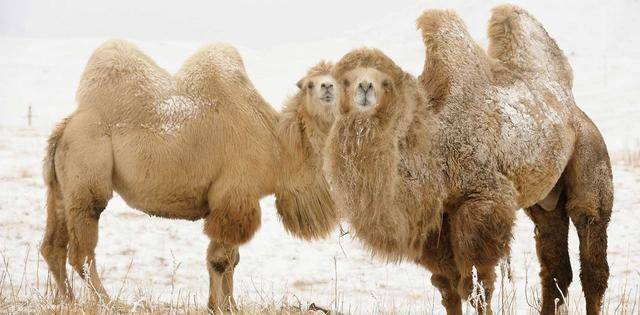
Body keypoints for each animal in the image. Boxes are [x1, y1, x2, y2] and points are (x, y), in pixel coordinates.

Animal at [39, 39, 340, 312]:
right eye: (310, 84)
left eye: (337, 80)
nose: (327, 87)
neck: (276, 147)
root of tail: (65, 127)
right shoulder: (234, 196)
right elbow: (221, 260)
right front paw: (219, 306)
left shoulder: (234, 201)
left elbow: (232, 259)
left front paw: (229, 305)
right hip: (87, 170)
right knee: (82, 250)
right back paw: (108, 302)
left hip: (62, 187)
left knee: (53, 246)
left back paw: (69, 301)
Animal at [322, 5, 612, 315]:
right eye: (343, 81)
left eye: (384, 82)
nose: (364, 89)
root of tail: (572, 107)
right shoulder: (437, 220)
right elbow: (447, 286)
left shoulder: (482, 201)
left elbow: (477, 287)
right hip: (546, 199)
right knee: (555, 264)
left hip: (590, 156)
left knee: (591, 247)